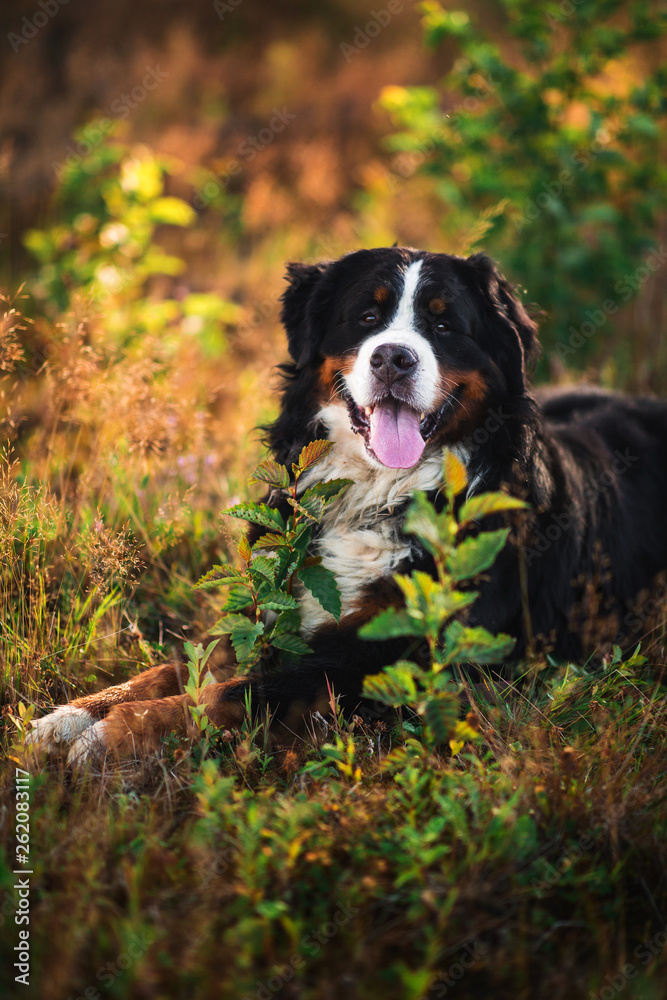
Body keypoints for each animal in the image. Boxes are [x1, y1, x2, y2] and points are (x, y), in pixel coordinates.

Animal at [26, 250, 667, 764]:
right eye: (367, 317)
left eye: (443, 322)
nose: (394, 359)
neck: (380, 497)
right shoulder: (279, 609)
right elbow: (186, 661)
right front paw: (73, 715)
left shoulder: (396, 652)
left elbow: (237, 690)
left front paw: (114, 734)